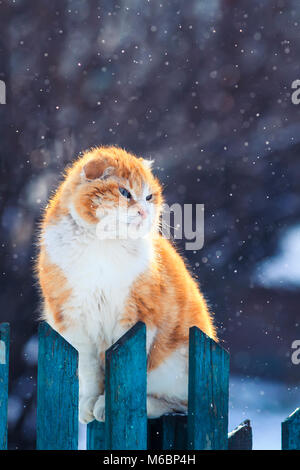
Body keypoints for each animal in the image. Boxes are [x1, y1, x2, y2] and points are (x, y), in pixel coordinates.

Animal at [36, 146, 217, 422]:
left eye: (149, 197)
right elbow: (89, 370)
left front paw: (105, 405)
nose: (143, 211)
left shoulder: (135, 316)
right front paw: (90, 402)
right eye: (124, 193)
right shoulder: (72, 320)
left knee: (179, 405)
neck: (102, 244)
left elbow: (119, 369)